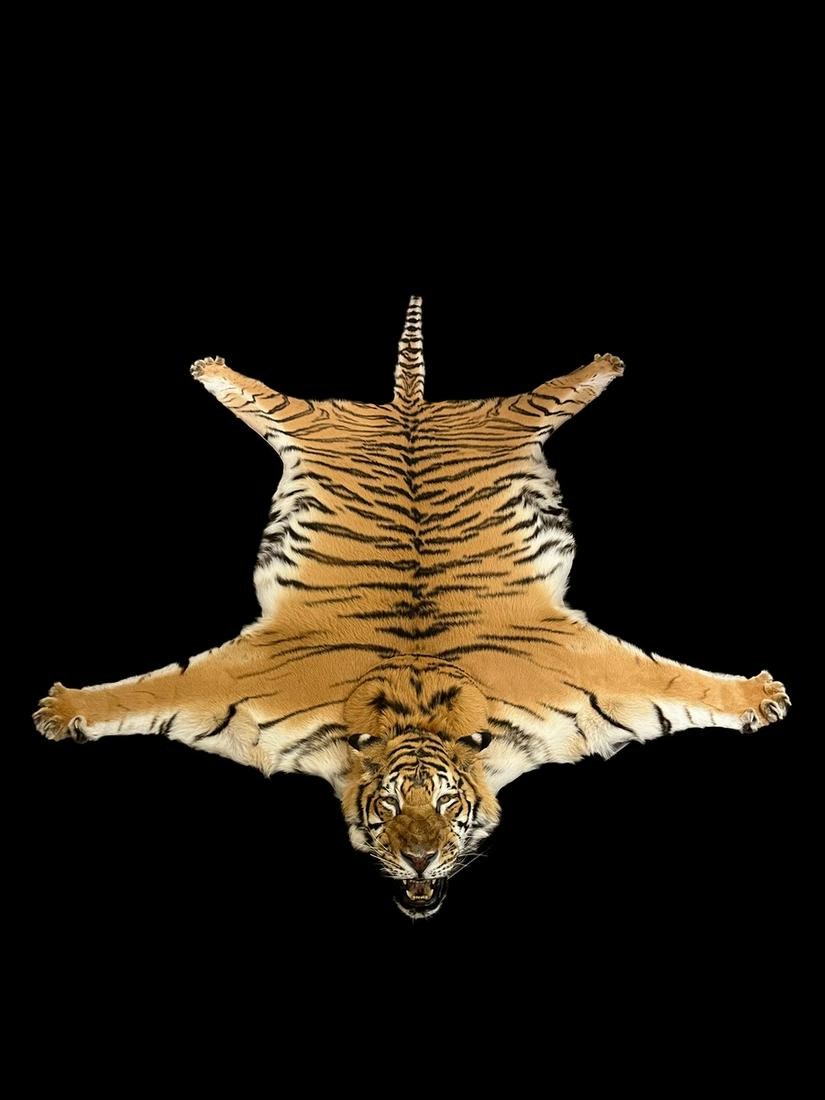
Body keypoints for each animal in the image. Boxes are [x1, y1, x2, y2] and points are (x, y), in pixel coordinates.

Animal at [33, 295, 791, 919]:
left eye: (447, 804)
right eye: (393, 804)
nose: (420, 857)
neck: (417, 702)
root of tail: (410, 411)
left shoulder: (584, 676)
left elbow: (670, 677)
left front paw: (759, 695)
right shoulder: (244, 692)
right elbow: (153, 688)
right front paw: (64, 710)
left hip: (500, 414)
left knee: (554, 391)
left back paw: (605, 361)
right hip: (320, 420)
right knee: (264, 398)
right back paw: (210, 365)